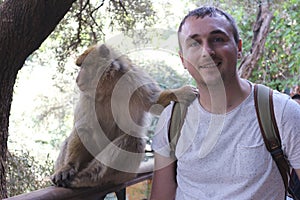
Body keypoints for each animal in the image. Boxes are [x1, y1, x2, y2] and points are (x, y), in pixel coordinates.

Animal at [51, 43, 197, 188]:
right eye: (80, 66)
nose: (77, 79)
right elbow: (84, 126)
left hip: (123, 174)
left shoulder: (135, 78)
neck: (109, 86)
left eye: (84, 66)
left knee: (134, 139)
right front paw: (68, 166)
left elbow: (154, 102)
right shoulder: (87, 96)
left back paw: (87, 177)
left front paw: (180, 93)